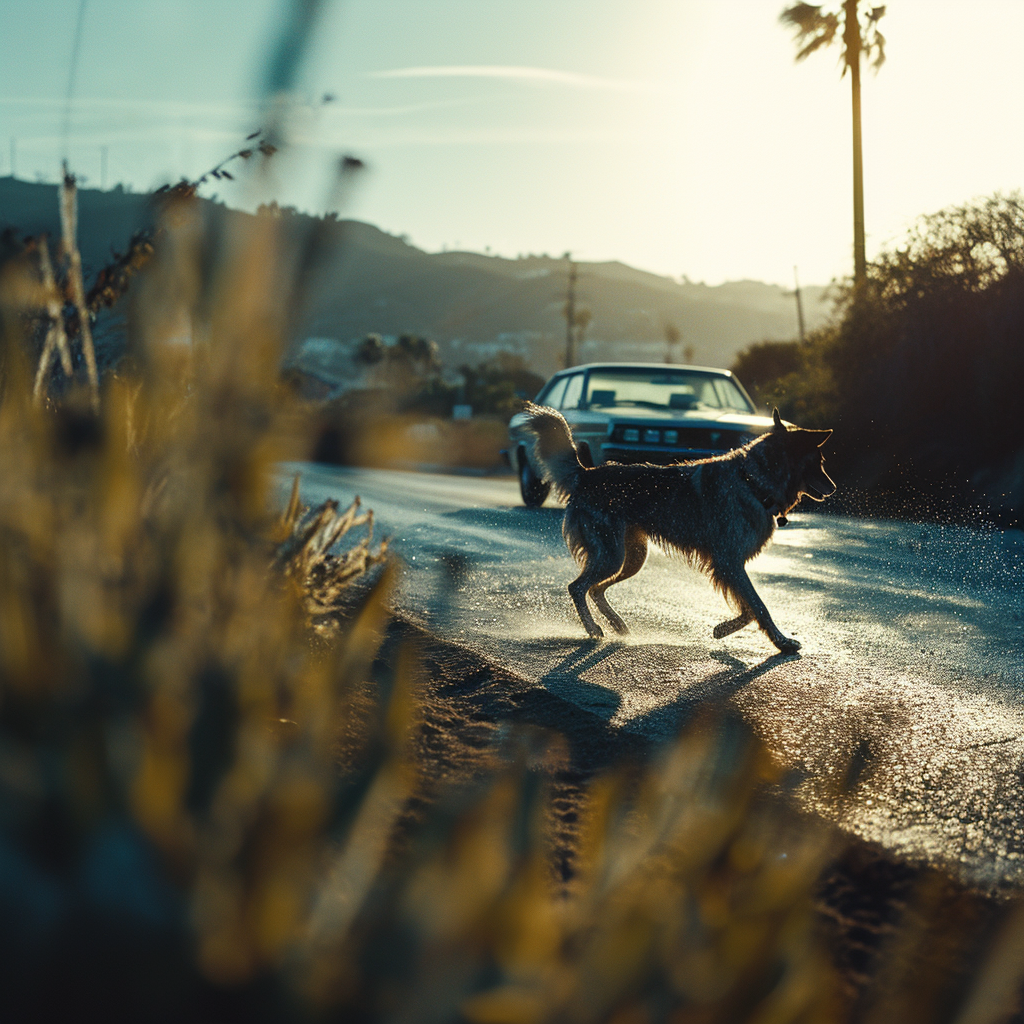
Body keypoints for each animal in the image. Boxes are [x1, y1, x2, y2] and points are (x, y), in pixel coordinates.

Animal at [516, 403, 835, 651]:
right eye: (820, 461)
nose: (832, 488)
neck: (752, 482)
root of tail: (586, 474)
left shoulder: (729, 566)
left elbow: (748, 608)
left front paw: (723, 629)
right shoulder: (729, 562)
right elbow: (759, 606)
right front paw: (782, 643)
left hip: (632, 558)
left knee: (595, 589)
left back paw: (618, 625)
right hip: (612, 557)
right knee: (578, 587)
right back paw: (594, 630)